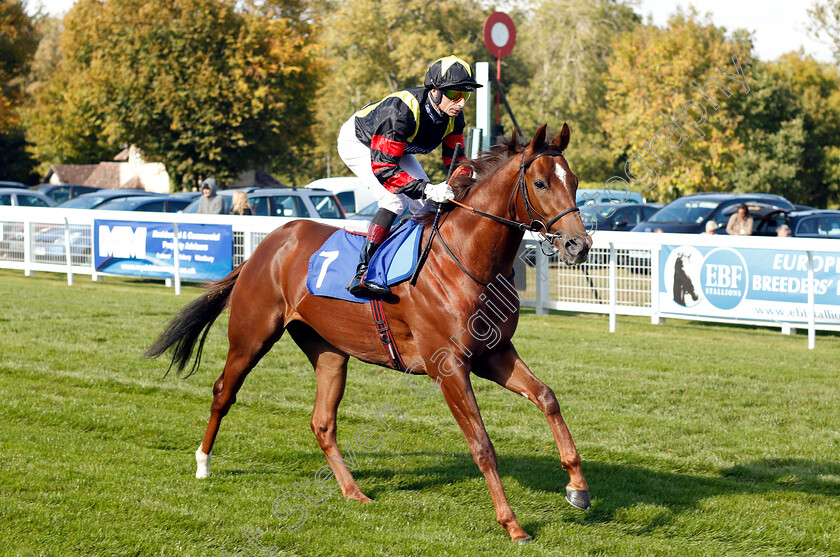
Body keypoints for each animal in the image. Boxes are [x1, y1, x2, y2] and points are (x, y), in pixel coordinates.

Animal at [144, 124, 592, 540]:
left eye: (573, 181)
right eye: (540, 183)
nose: (579, 245)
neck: (466, 260)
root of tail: (267, 244)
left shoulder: (493, 354)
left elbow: (547, 398)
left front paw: (577, 488)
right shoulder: (448, 365)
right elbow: (482, 444)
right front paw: (511, 524)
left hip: (327, 350)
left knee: (322, 422)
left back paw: (352, 491)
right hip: (252, 336)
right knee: (224, 391)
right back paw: (203, 463)